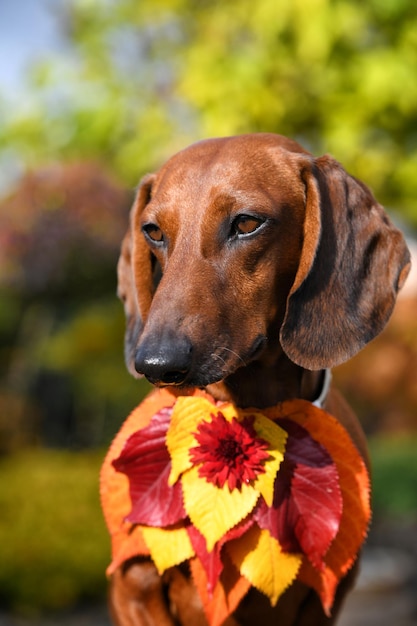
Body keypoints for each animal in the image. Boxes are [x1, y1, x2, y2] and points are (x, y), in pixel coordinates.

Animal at [110, 133, 410, 624]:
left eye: (247, 223)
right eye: (152, 231)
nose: (155, 363)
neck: (247, 415)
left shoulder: (325, 601)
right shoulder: (133, 587)